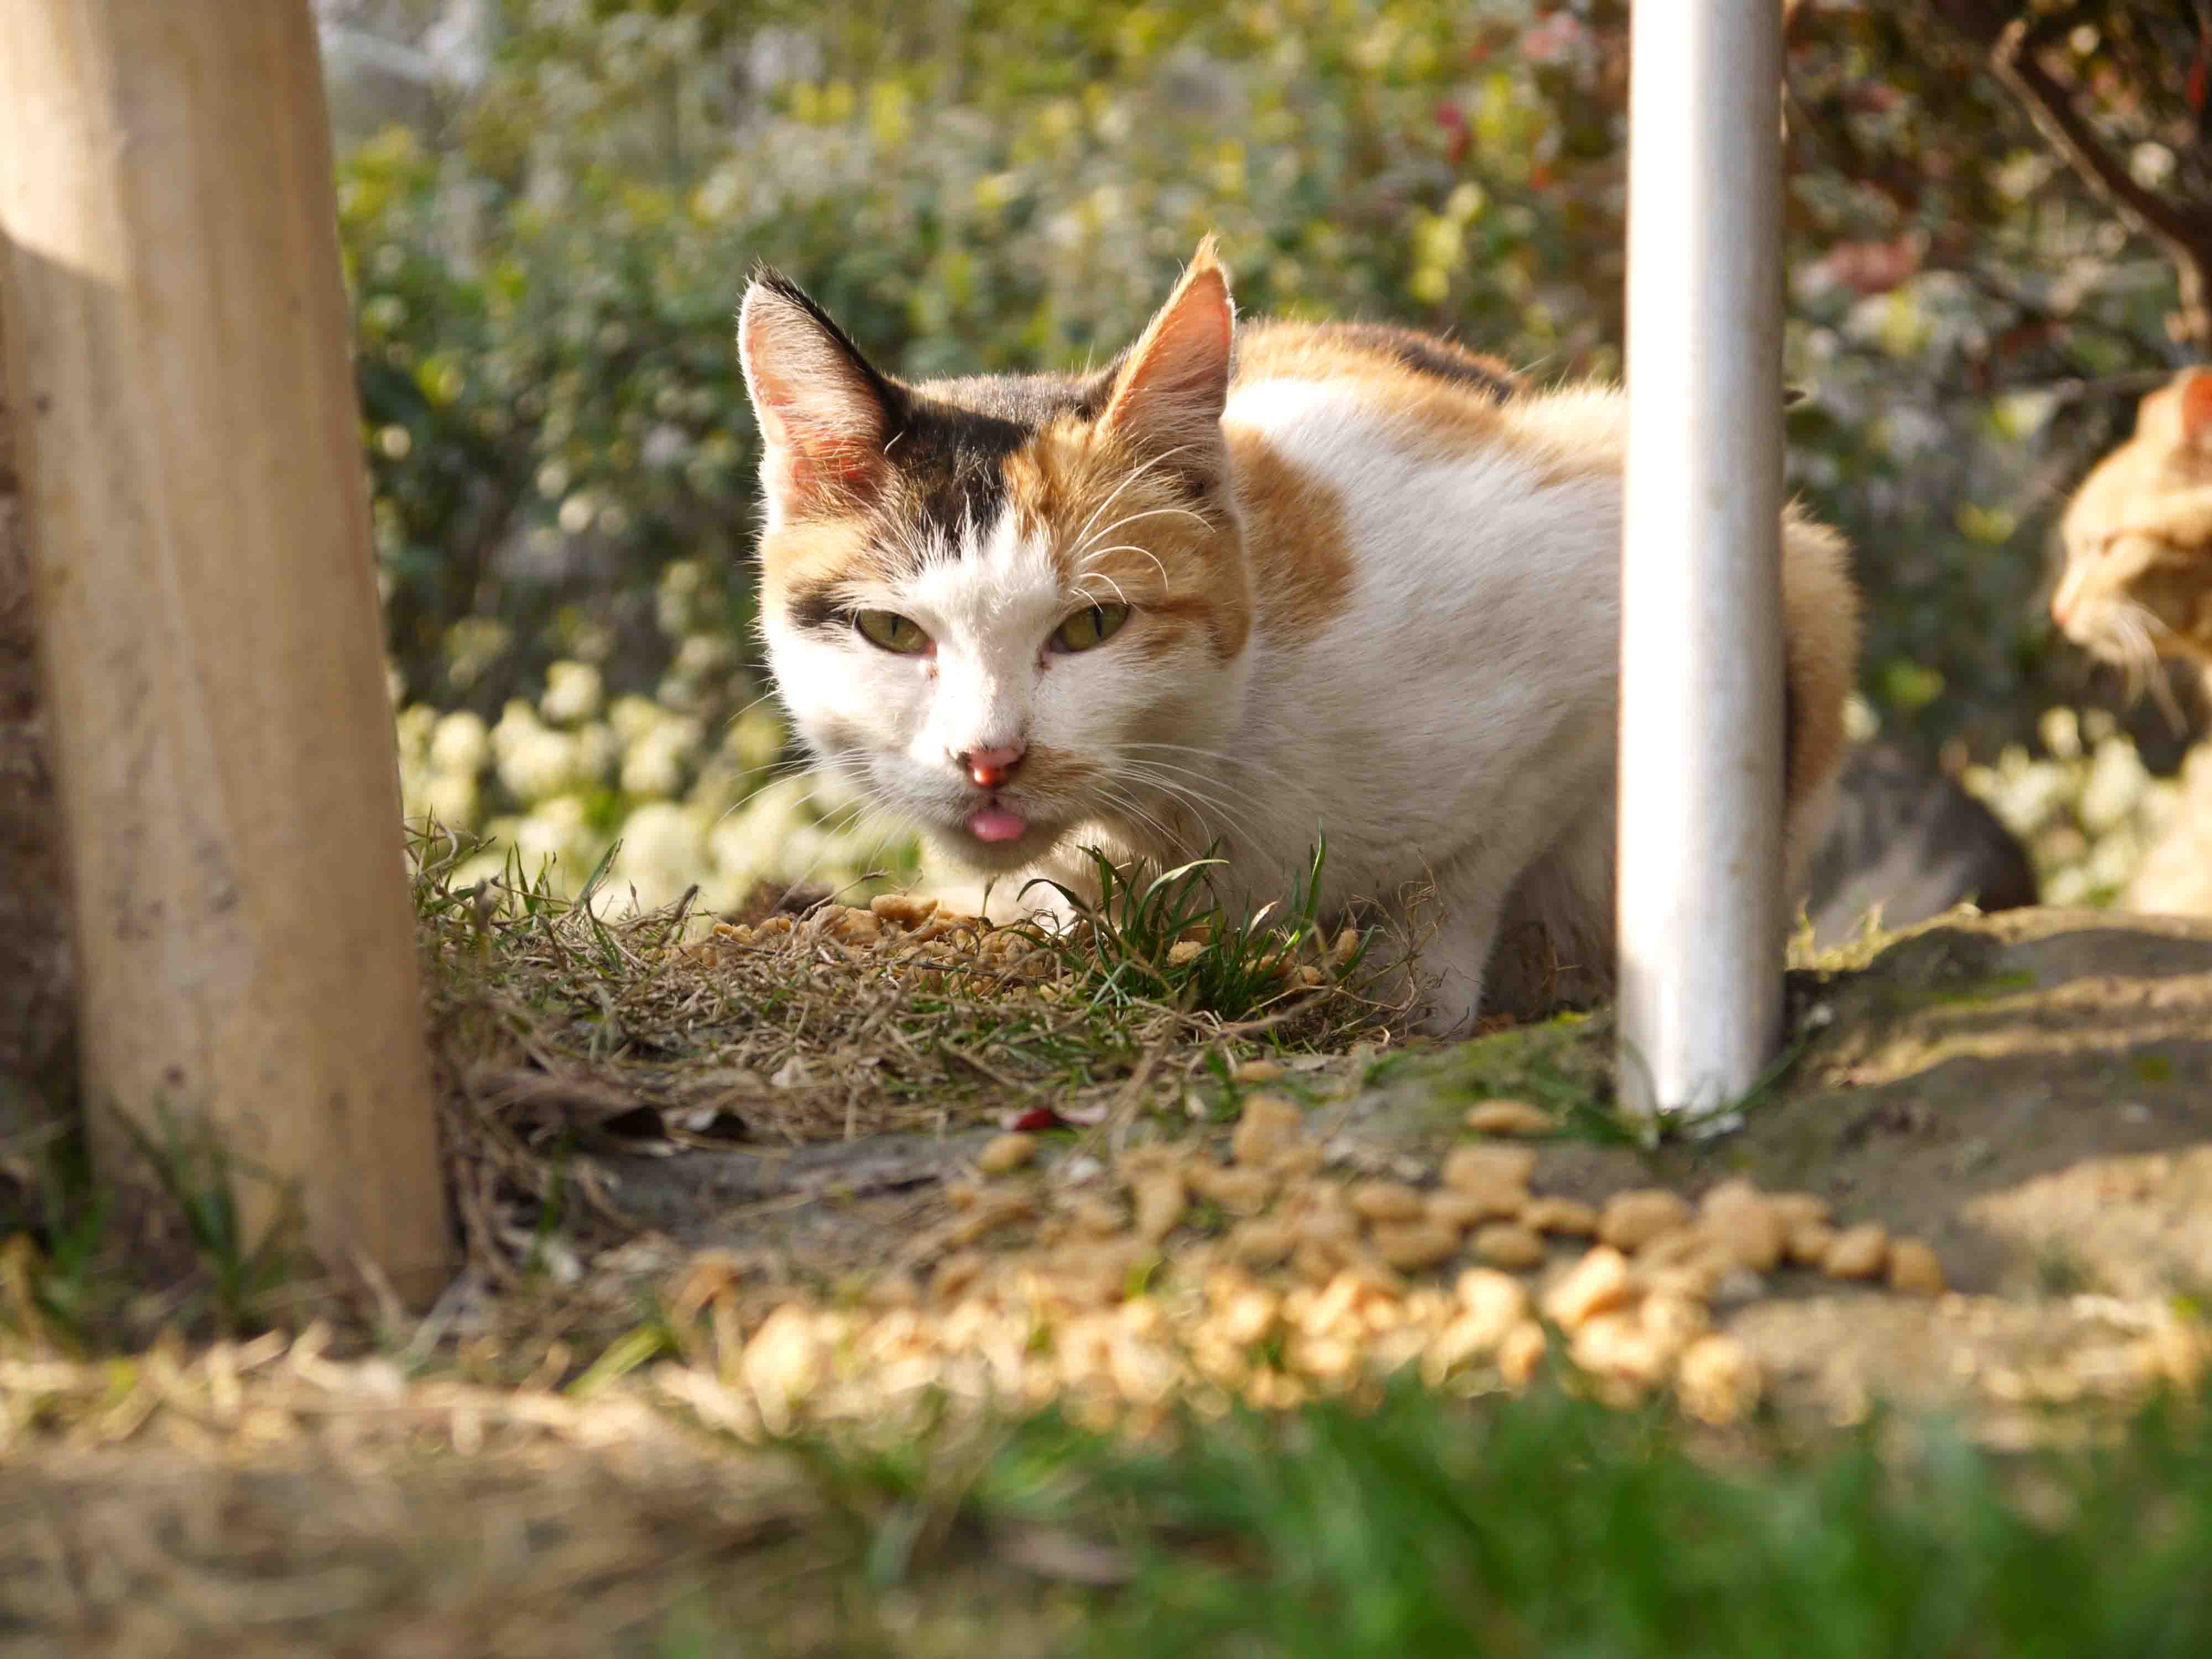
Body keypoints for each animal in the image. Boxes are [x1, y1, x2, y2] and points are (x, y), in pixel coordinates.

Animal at [743, 240, 1867, 1035]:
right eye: (892, 631)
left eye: (1093, 623)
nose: (988, 759)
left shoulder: (1596, 604)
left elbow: (1464, 879)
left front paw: (1409, 999)